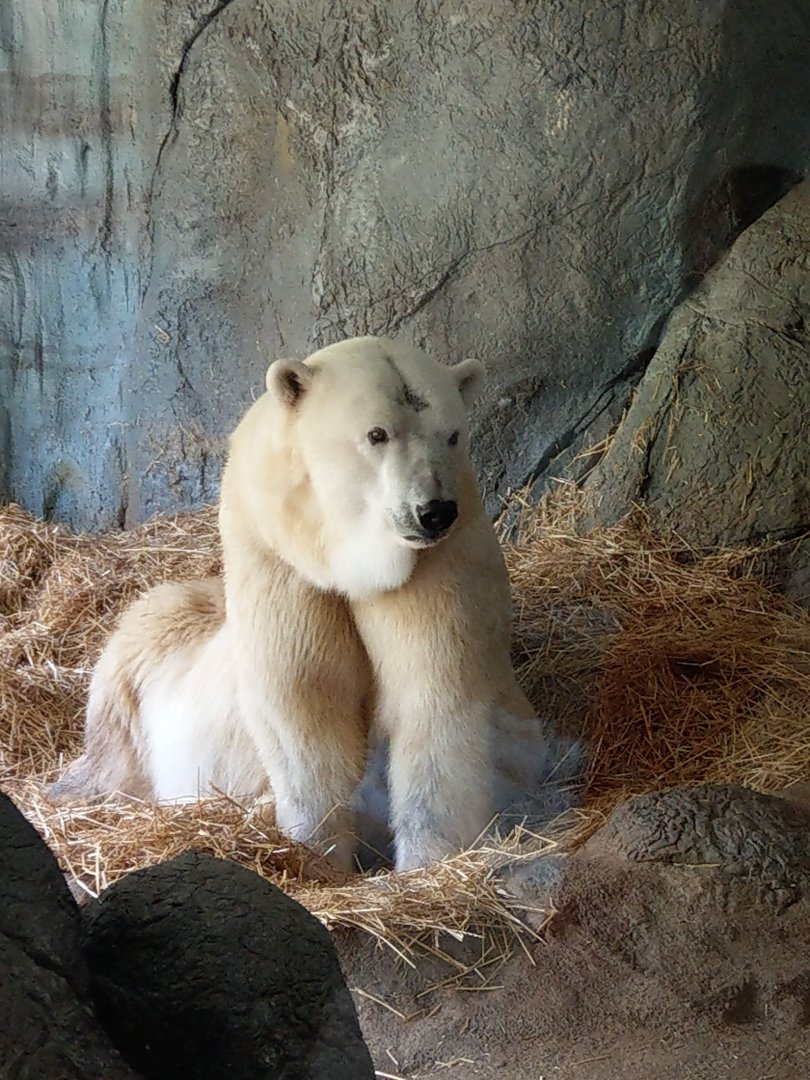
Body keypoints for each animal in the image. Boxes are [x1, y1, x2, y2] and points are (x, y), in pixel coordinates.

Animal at [49, 336, 577, 873]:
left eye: (452, 434)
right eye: (377, 433)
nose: (433, 511)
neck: (349, 563)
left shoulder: (438, 566)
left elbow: (435, 693)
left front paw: (426, 862)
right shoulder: (282, 566)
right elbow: (304, 702)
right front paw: (314, 854)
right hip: (145, 650)